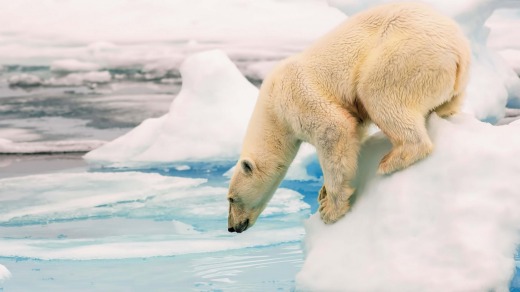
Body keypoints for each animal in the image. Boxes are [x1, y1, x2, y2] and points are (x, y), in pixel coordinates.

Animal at [228, 1, 472, 232]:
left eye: (231, 199)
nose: (231, 227)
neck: (272, 109)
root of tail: (459, 49)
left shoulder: (296, 95)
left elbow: (334, 129)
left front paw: (330, 209)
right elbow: (354, 132)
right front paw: (323, 192)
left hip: (407, 54)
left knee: (378, 91)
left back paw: (390, 161)